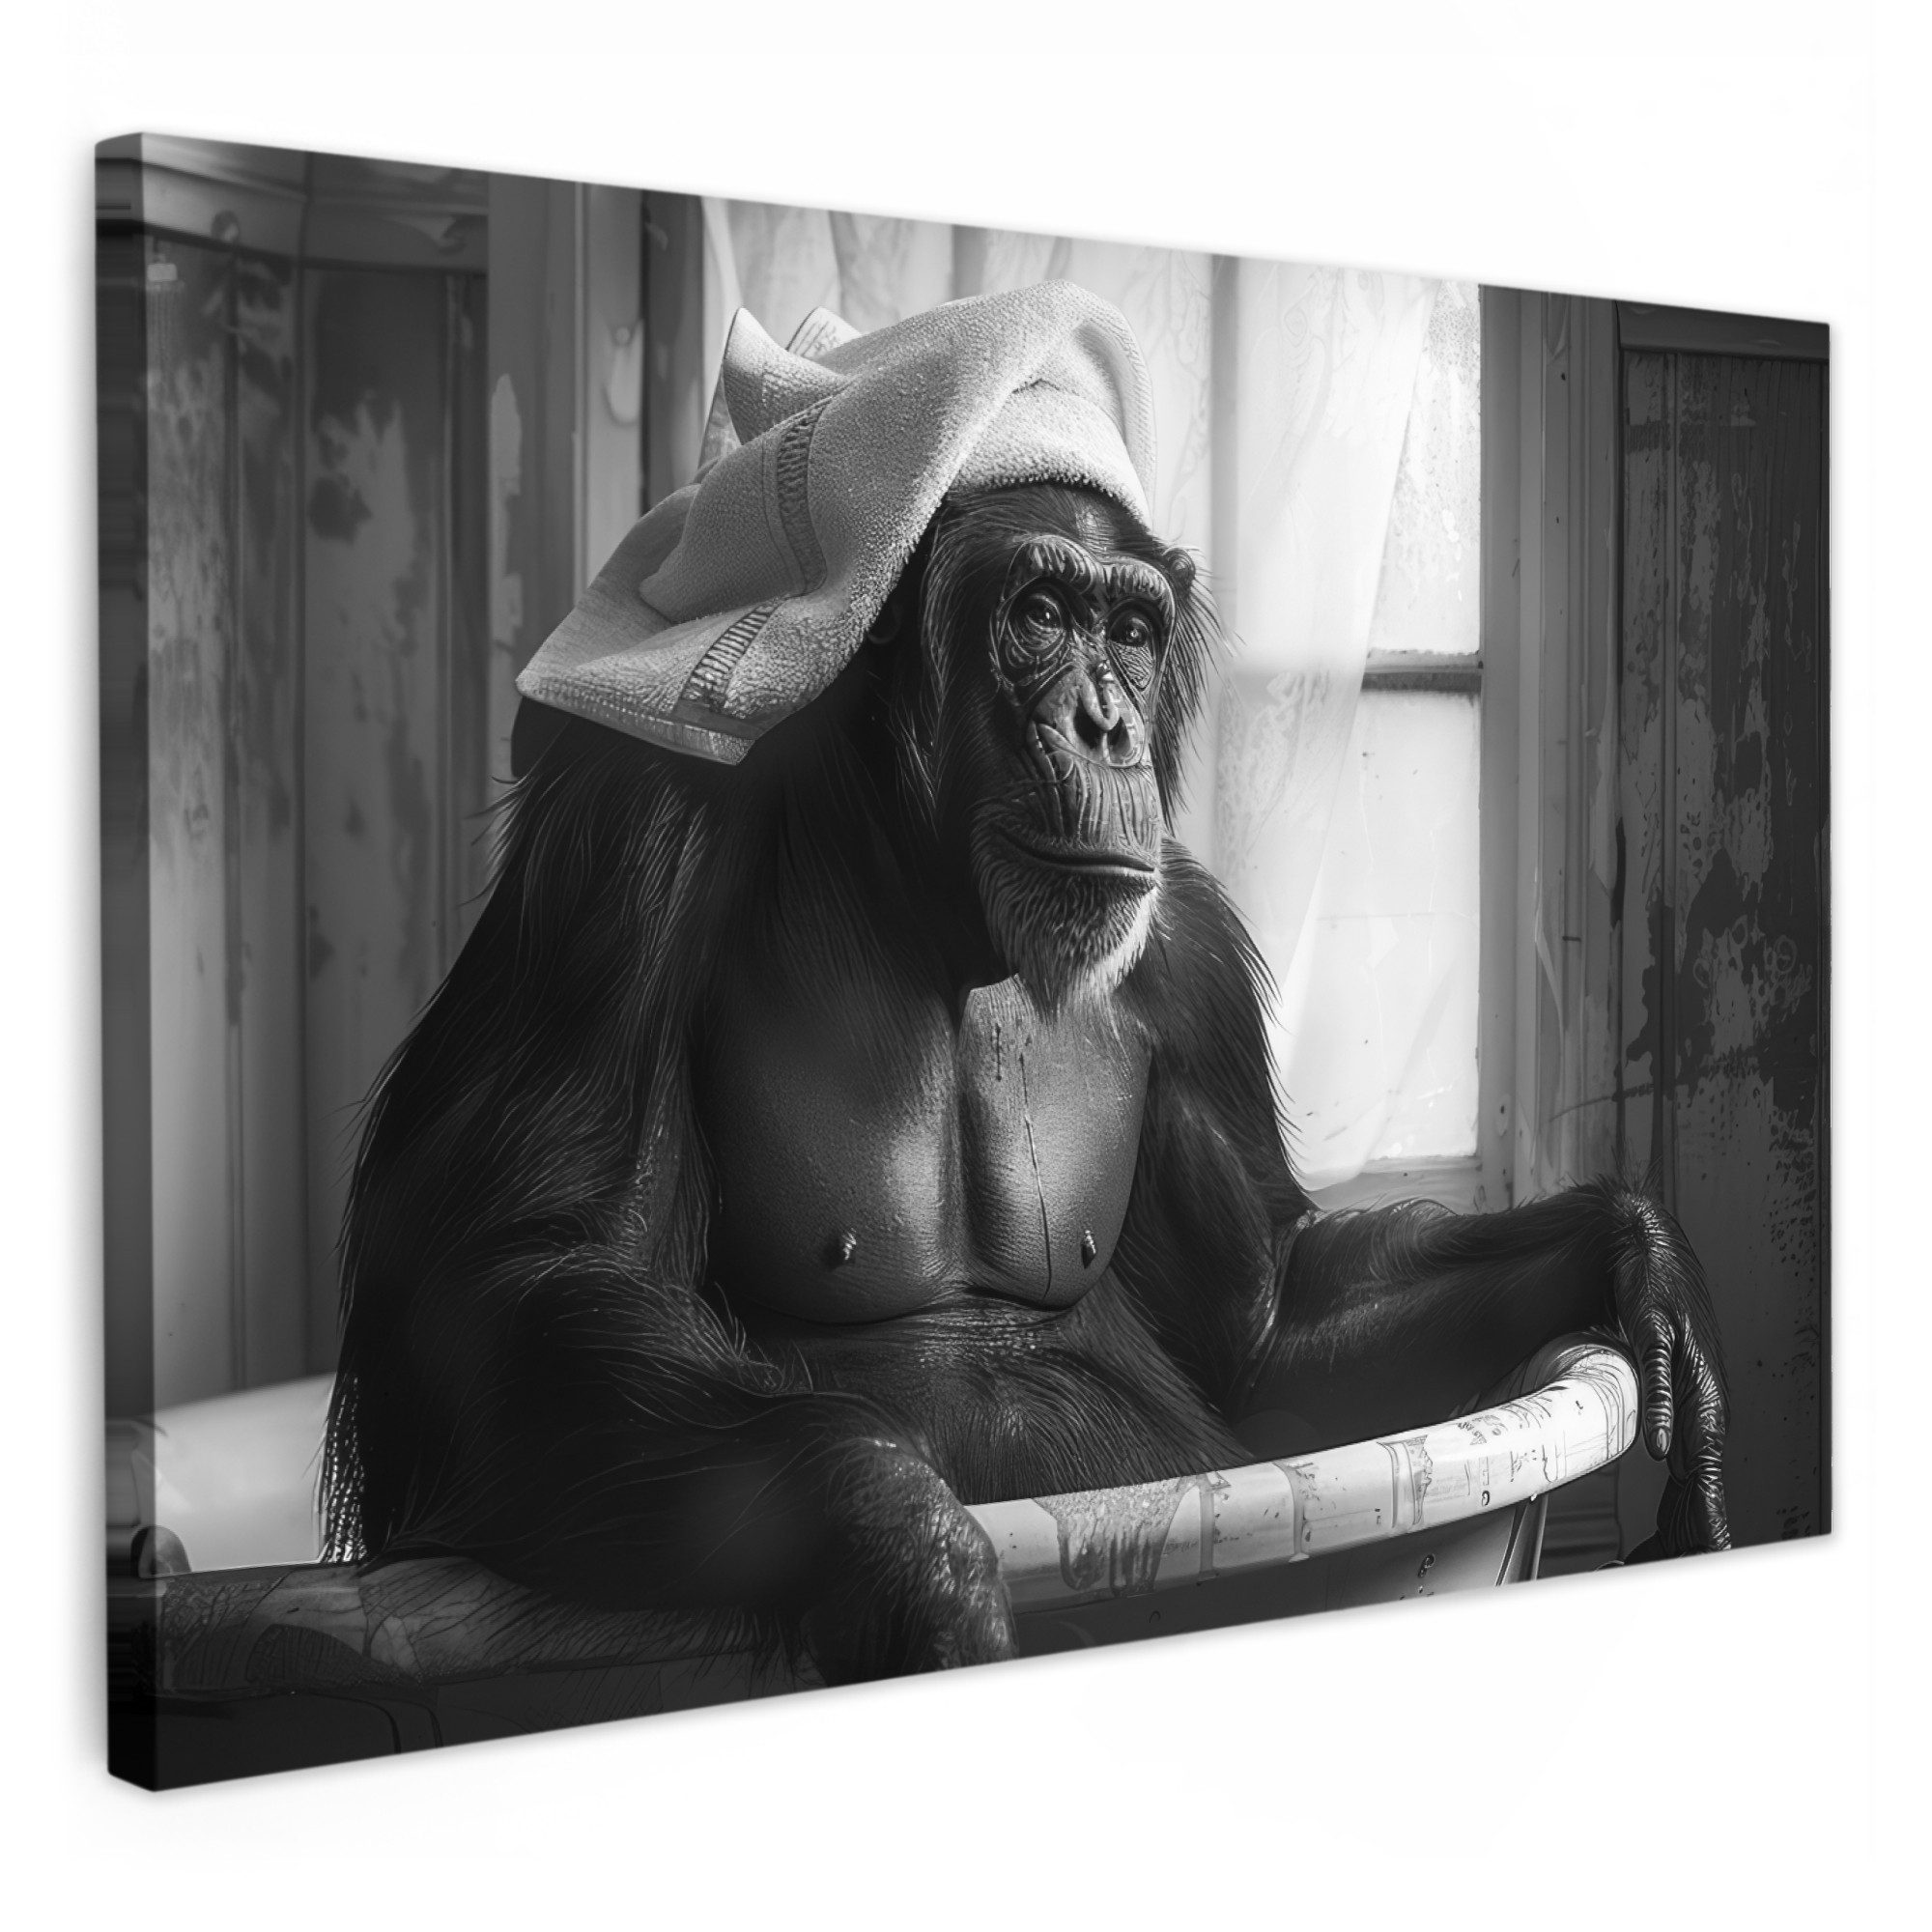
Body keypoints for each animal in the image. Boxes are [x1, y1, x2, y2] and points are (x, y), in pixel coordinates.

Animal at [324, 478, 1729, 1685]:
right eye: (1042, 615)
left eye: (1133, 630)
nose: (1107, 722)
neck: (918, 888)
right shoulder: (620, 866)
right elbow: (521, 1279)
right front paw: (908, 1548)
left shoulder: (1193, 967)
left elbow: (1263, 1328)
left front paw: (1639, 1264)